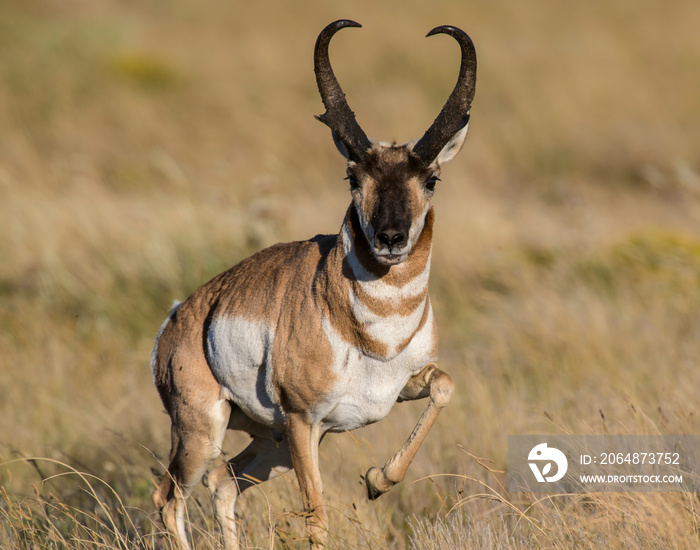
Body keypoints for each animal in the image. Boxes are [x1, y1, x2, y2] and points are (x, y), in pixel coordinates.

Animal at [152, 19, 476, 548]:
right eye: (352, 177)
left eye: (431, 179)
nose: (390, 238)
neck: (375, 332)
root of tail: (179, 318)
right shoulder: (304, 420)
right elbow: (317, 521)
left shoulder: (391, 393)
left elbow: (445, 385)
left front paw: (376, 480)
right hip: (207, 434)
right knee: (170, 498)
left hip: (273, 443)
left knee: (223, 483)